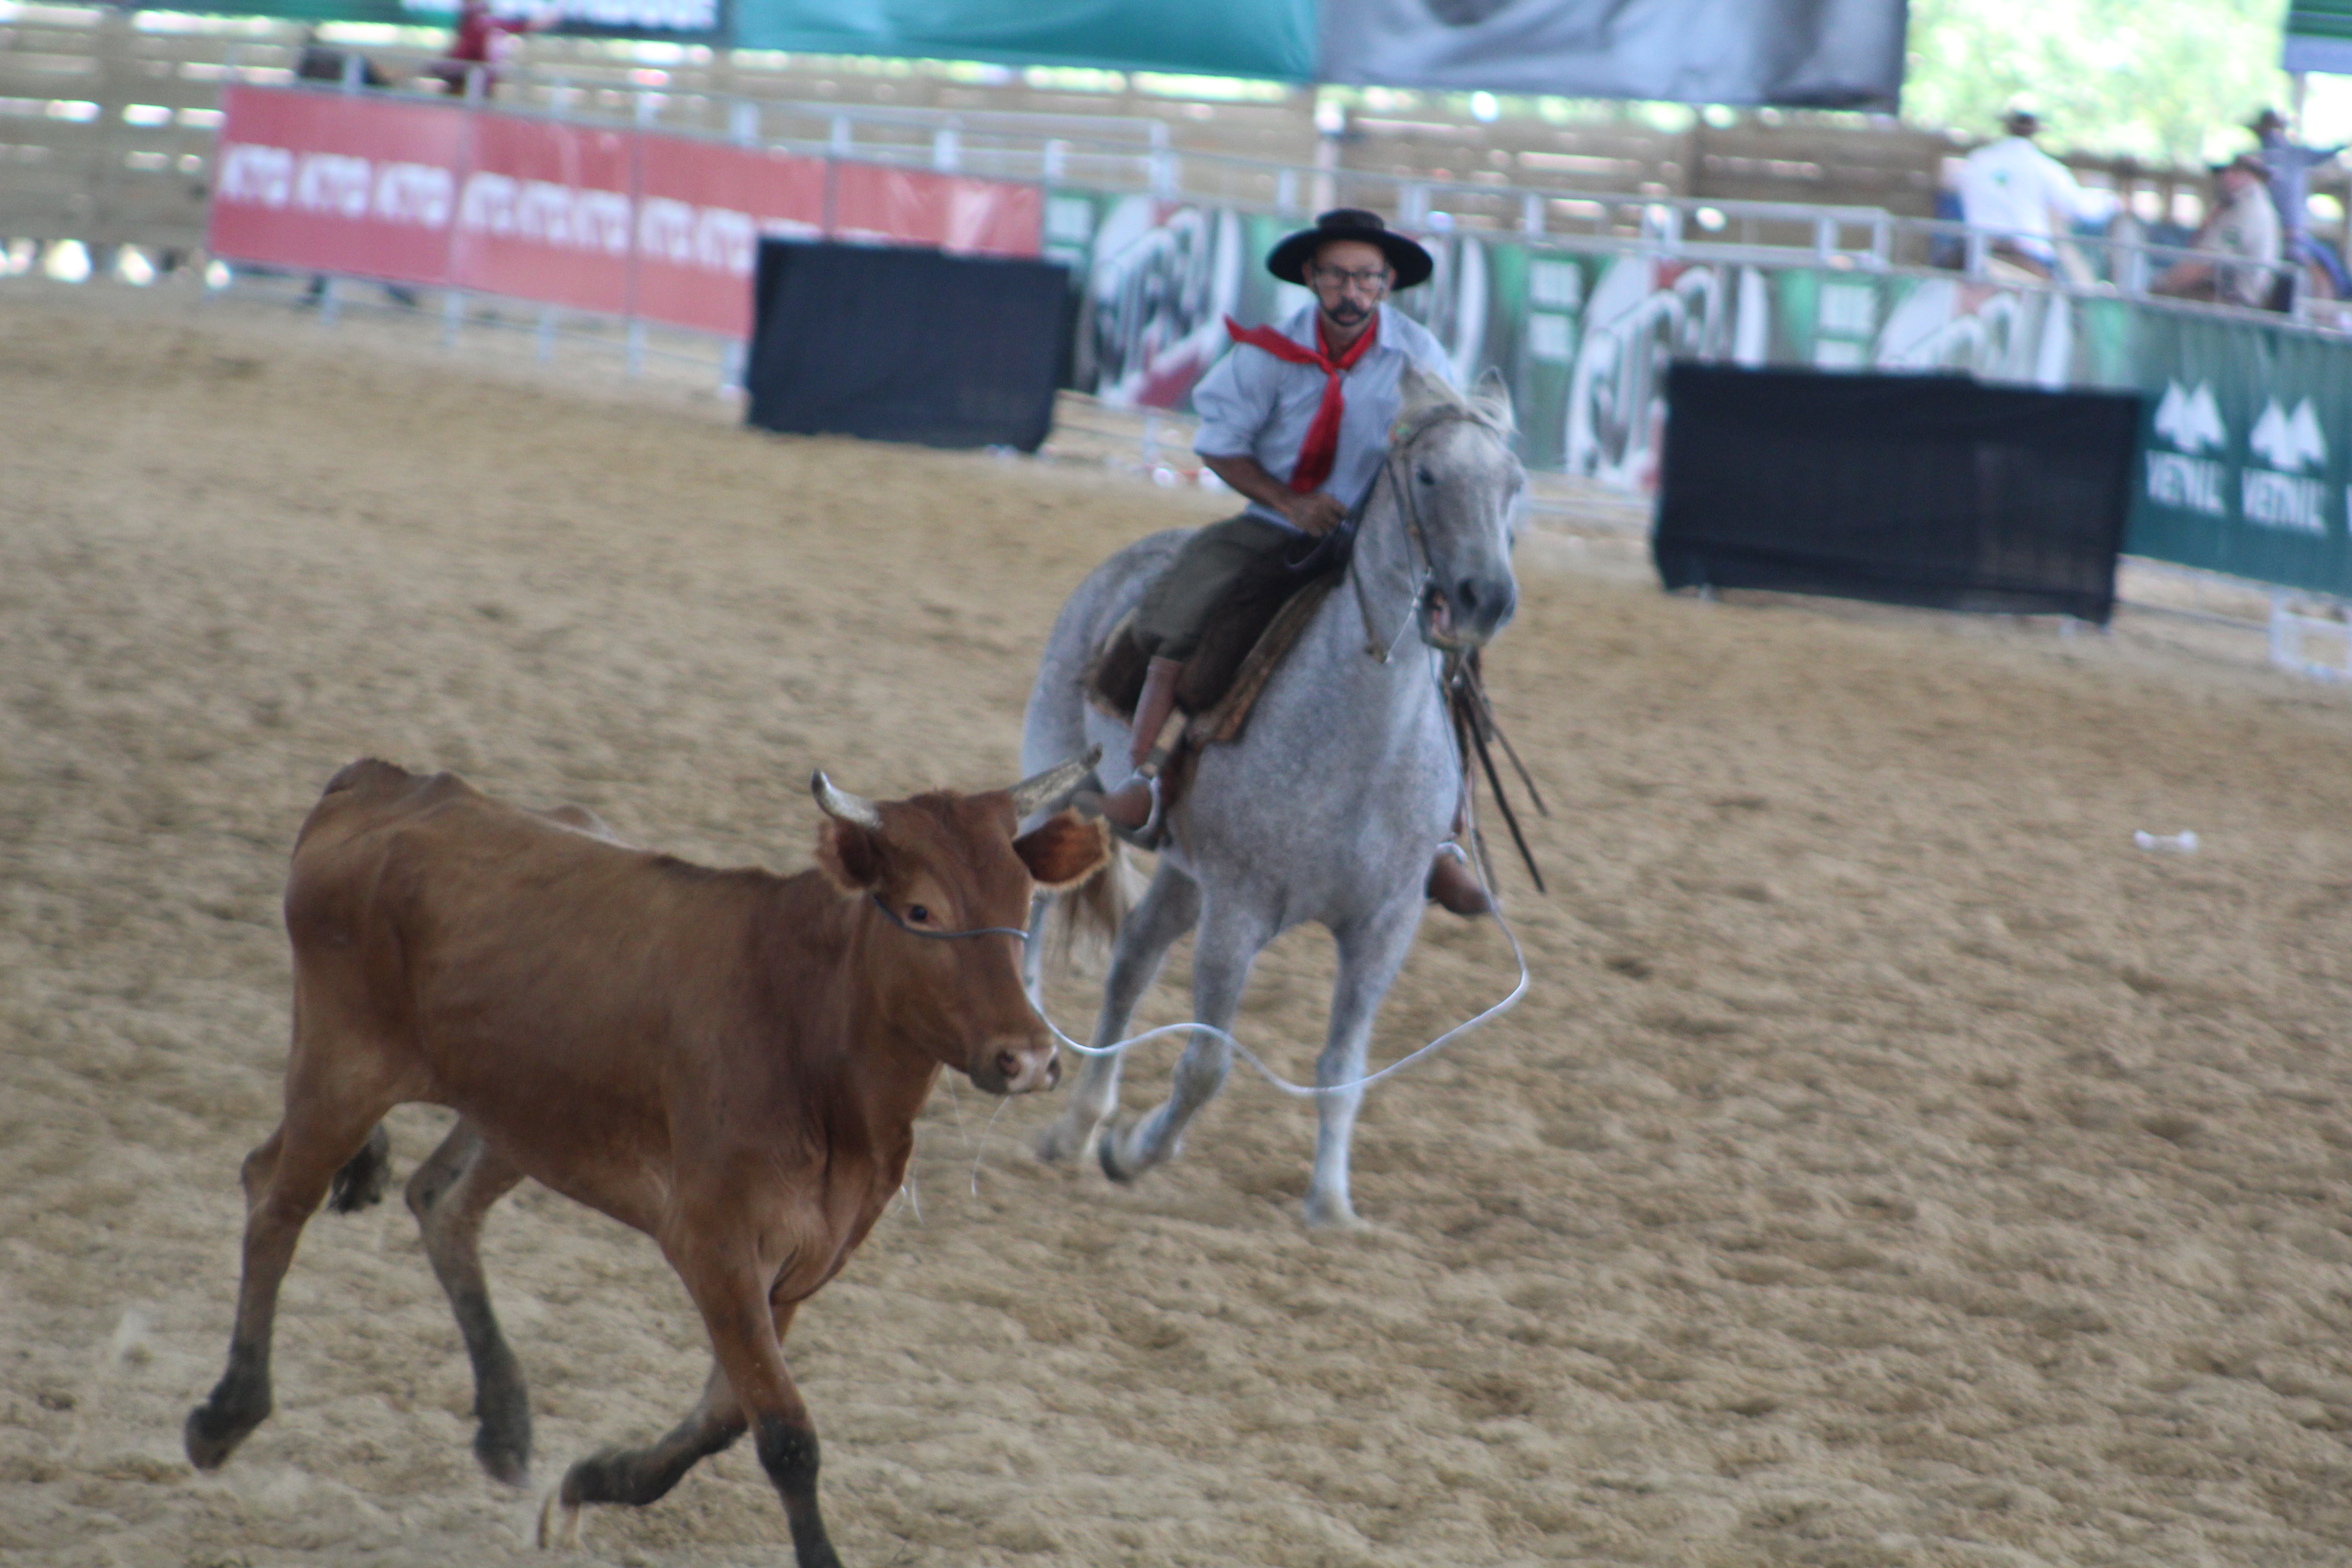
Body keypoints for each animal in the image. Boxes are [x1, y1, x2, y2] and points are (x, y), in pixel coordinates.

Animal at [181, 752, 1101, 1561]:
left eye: (1025, 904)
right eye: (919, 912)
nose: (1027, 1058)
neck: (810, 1032)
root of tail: (383, 783)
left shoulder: (802, 1264)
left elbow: (723, 1419)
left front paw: (587, 1483)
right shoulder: (714, 1243)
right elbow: (785, 1435)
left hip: (519, 1107)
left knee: (440, 1201)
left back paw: (504, 1423)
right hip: (342, 1067)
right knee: (275, 1196)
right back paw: (227, 1414)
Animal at [1020, 369, 1533, 1222]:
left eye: (1514, 483)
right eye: (1428, 476)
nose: (1484, 598)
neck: (1362, 752)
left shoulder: (1383, 926)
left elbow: (1340, 1071)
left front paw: (1330, 1203)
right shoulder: (1238, 911)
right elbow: (1206, 1067)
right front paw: (1136, 1150)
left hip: (1182, 870)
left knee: (1131, 960)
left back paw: (1076, 1127)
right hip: (1061, 788)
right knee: (1032, 899)